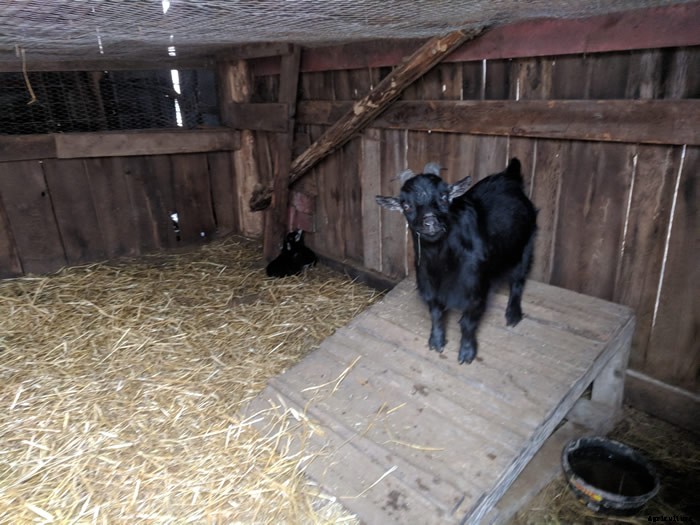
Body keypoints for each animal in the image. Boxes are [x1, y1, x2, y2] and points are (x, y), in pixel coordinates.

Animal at [376, 158, 537, 364]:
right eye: (406, 205)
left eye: (444, 197)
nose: (430, 222)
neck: (442, 261)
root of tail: (509, 176)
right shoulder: (429, 285)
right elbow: (436, 314)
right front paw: (436, 341)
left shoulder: (476, 290)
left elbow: (467, 323)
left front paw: (467, 353)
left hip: (526, 245)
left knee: (518, 280)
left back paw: (513, 315)